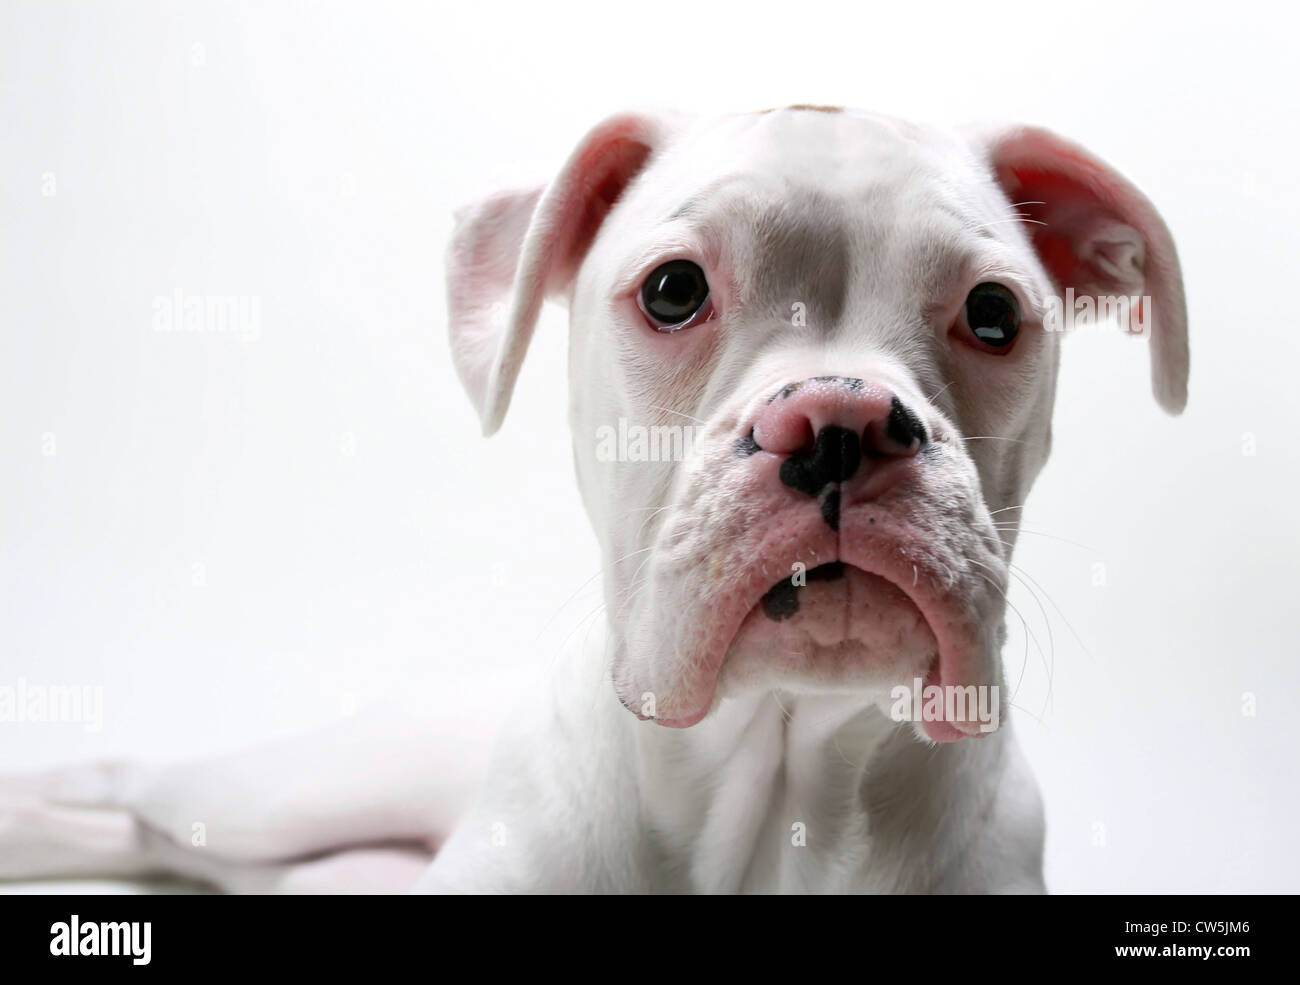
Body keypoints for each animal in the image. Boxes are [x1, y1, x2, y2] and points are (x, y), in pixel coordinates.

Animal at [0, 105, 1185, 894]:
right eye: (673, 289)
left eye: (994, 315)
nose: (841, 422)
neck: (777, 776)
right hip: (271, 797)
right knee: (134, 780)